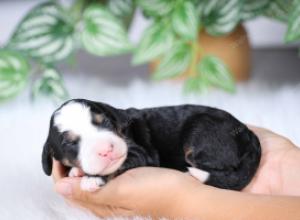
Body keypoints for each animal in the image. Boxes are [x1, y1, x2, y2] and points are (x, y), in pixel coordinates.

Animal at [41, 99, 262, 192]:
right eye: (70, 143)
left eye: (105, 123)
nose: (106, 149)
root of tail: (248, 133)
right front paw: (77, 171)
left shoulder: (141, 153)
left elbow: (119, 164)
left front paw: (92, 179)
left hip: (200, 134)